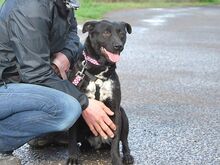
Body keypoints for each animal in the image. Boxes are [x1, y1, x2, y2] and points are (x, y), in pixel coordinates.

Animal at [66, 20, 132, 165]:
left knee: (124, 141)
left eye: (122, 33)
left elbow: (116, 140)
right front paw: (73, 157)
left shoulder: (115, 109)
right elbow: (72, 138)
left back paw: (127, 156)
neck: (99, 72)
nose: (118, 46)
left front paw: (116, 159)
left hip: (123, 114)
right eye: (106, 32)